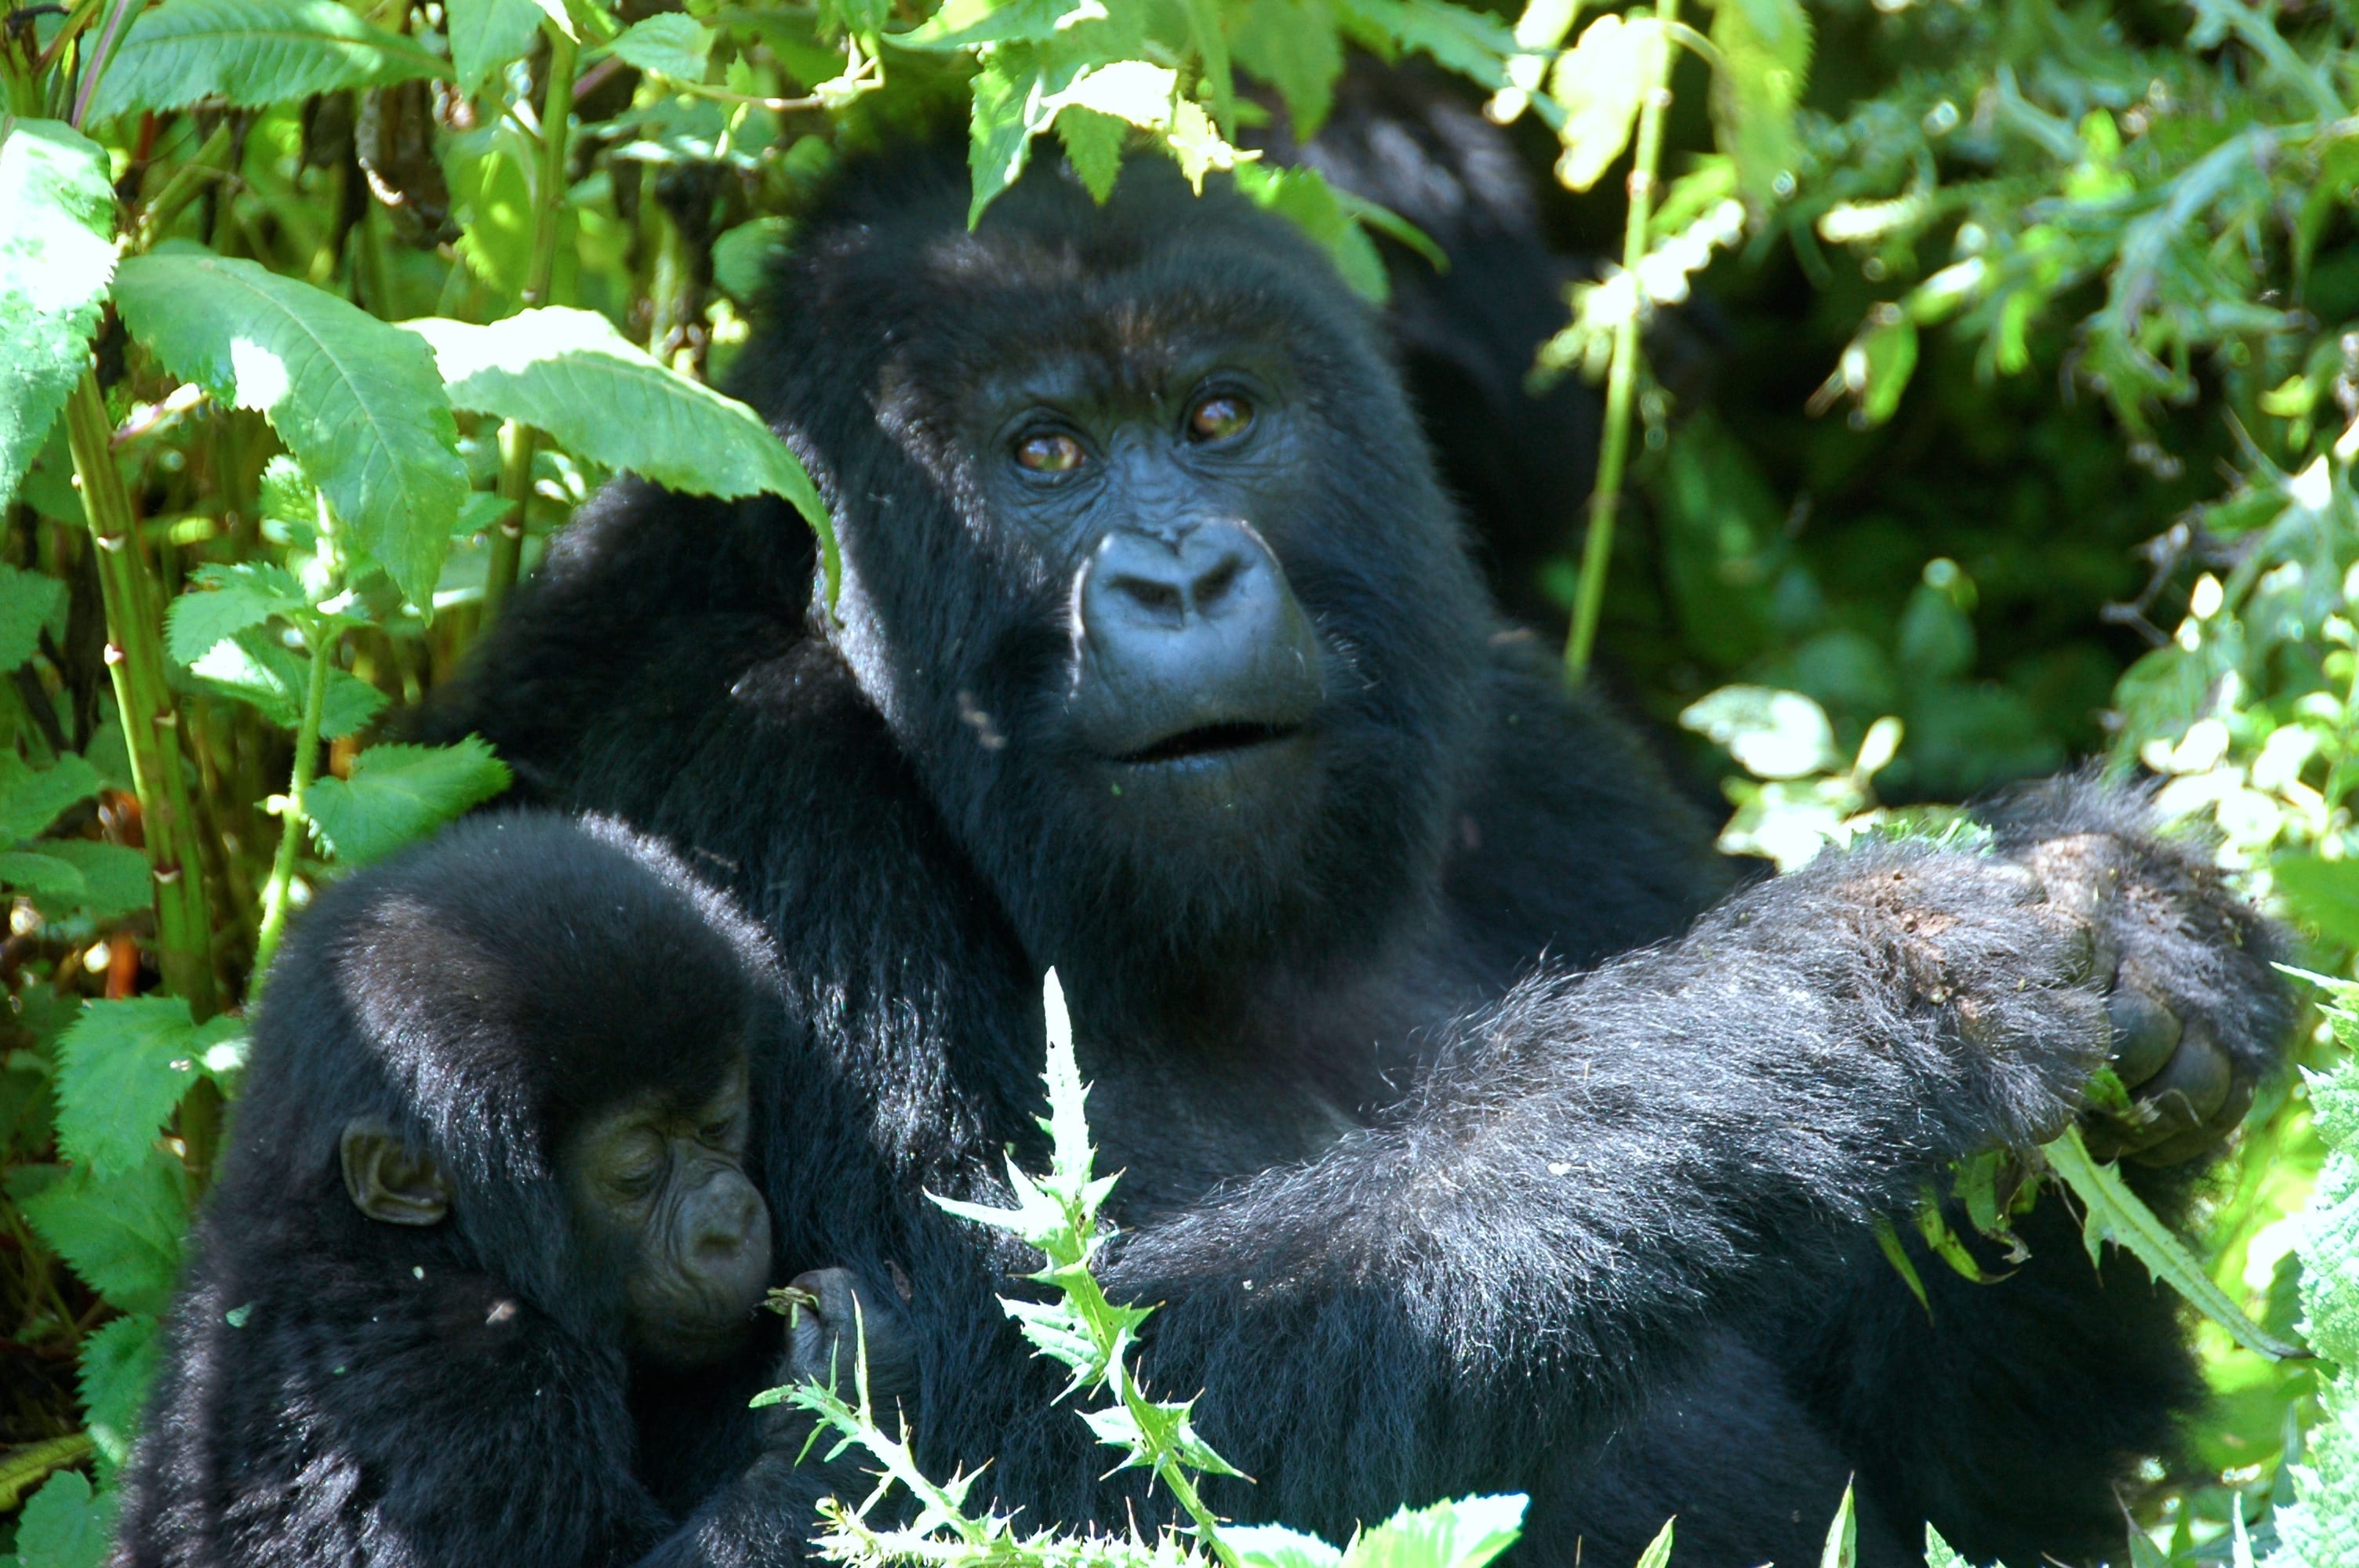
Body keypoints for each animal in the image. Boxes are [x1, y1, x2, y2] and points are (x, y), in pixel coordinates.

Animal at [424, 147, 2283, 1565]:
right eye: (1044, 454)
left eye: (1219, 415)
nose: (1178, 576)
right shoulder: (726, 777)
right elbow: (883, 1440)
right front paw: (1799, 1018)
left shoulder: (1541, 759)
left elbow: (1978, 1498)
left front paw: (2142, 935)